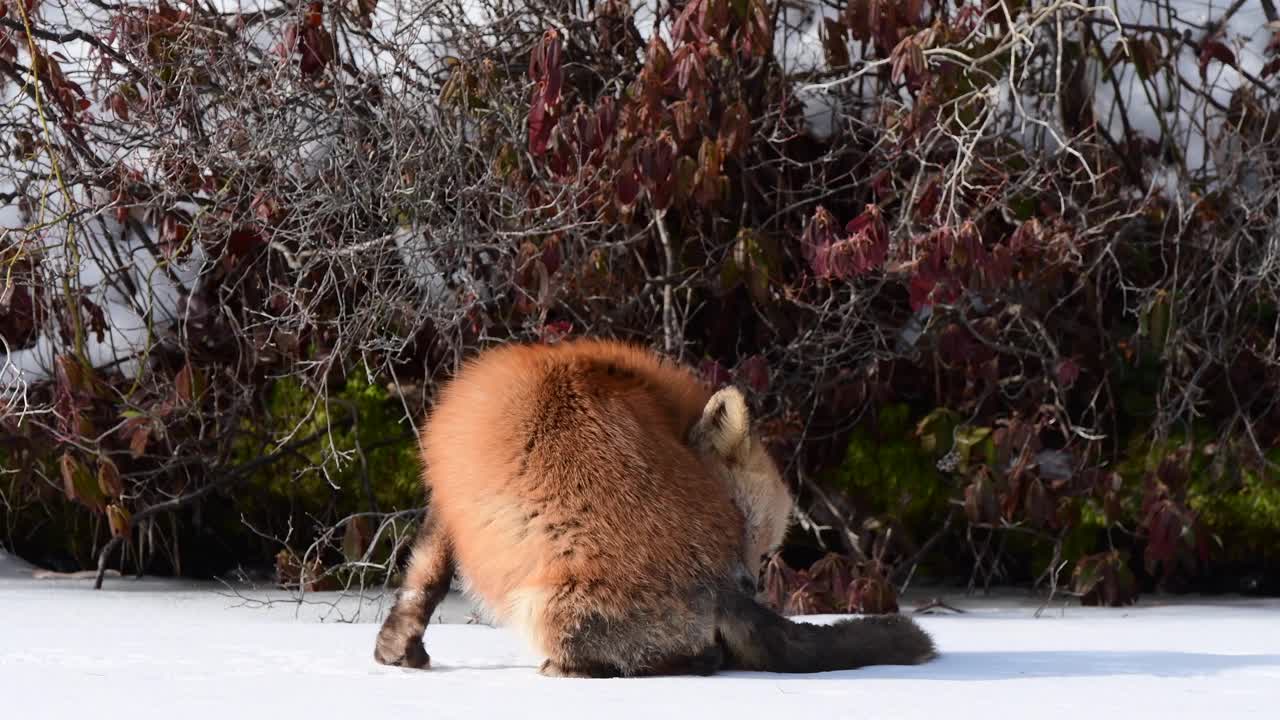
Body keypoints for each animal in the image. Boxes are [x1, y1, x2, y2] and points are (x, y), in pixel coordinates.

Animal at [371, 338, 931, 676]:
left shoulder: (448, 496)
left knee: (699, 658)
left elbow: (422, 584)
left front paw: (399, 652)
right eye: (740, 525)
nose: (749, 582)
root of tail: (714, 588)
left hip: (545, 609)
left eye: (761, 544)